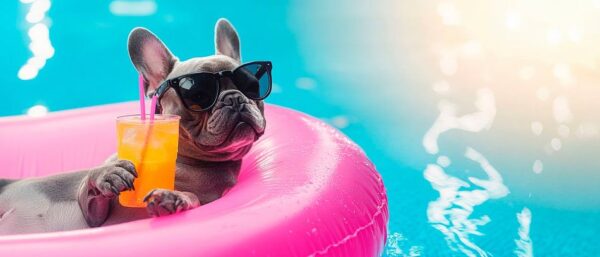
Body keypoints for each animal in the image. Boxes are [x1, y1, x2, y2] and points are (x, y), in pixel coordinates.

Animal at [0, 18, 264, 234]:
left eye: (253, 86)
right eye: (199, 94)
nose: (235, 98)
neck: (186, 161)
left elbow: (193, 198)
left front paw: (173, 197)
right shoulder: (92, 214)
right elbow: (91, 181)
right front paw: (109, 173)